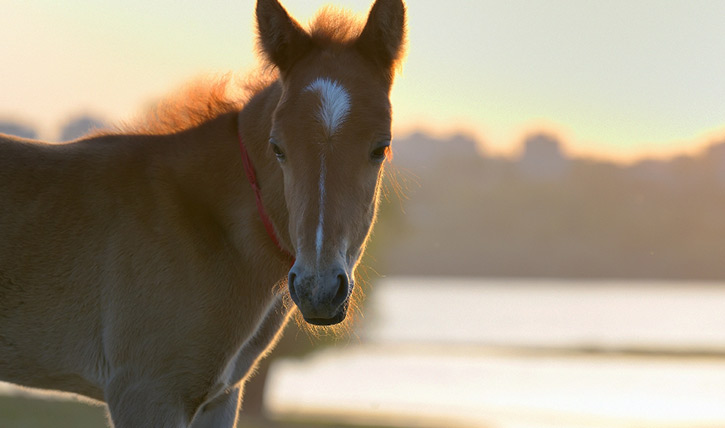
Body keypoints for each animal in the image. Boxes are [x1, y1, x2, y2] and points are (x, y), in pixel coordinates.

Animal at [0, 0, 408, 426]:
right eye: (277, 147)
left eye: (381, 147)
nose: (319, 290)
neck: (205, 225)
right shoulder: (146, 392)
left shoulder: (219, 398)